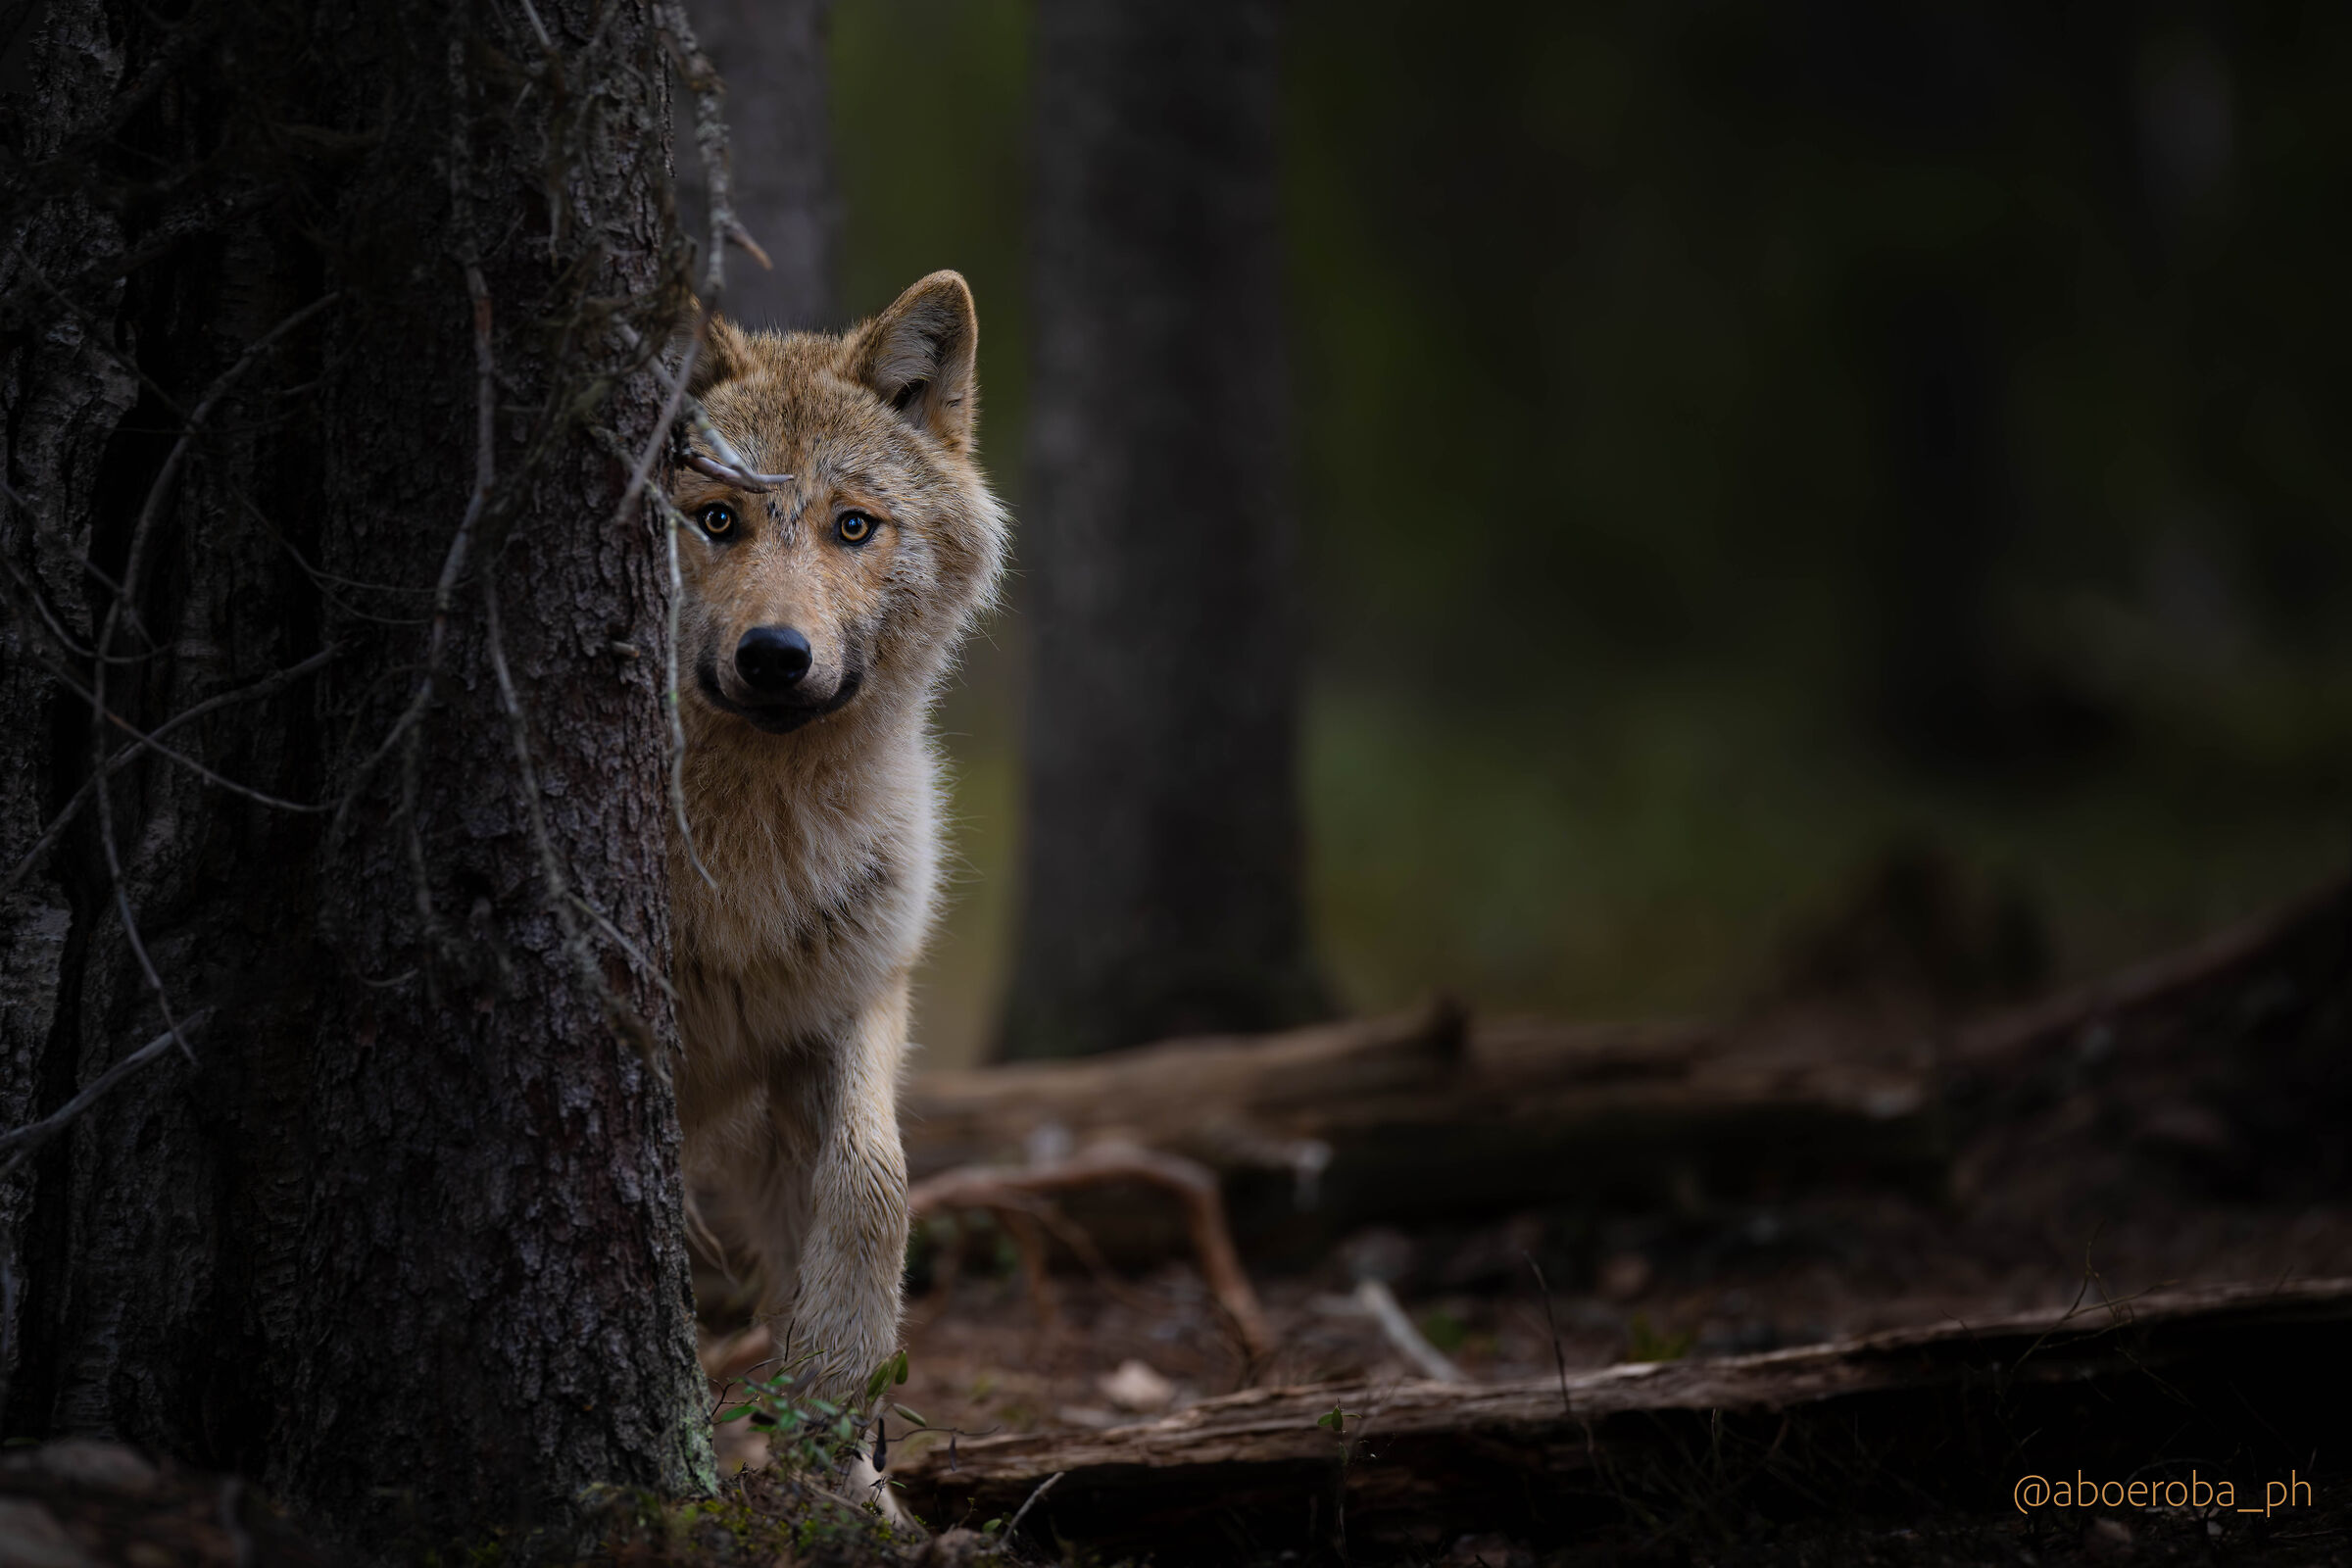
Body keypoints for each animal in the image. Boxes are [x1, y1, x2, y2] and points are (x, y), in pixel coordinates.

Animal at [667, 271, 1006, 1407]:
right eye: (715, 518)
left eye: (852, 526)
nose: (776, 655)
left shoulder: (850, 999)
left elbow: (876, 1185)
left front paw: (838, 1393)